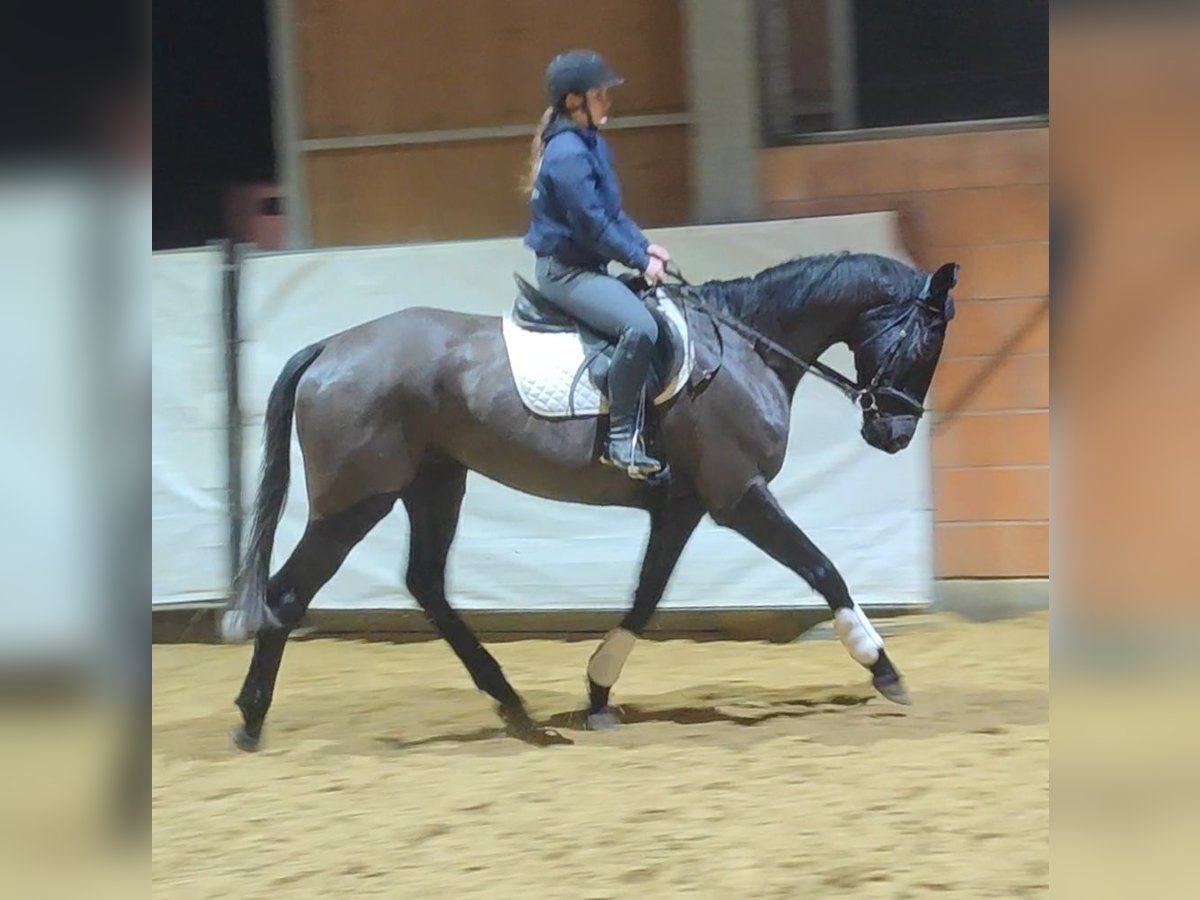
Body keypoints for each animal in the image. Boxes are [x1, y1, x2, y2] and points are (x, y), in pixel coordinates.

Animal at [223, 251, 958, 749]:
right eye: (926, 342)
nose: (893, 434)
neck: (745, 349)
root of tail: (330, 347)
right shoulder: (738, 495)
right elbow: (823, 568)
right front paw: (883, 667)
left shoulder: (682, 507)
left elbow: (646, 597)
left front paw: (599, 691)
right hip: (357, 501)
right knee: (289, 594)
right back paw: (252, 718)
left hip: (435, 481)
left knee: (425, 582)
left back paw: (513, 704)